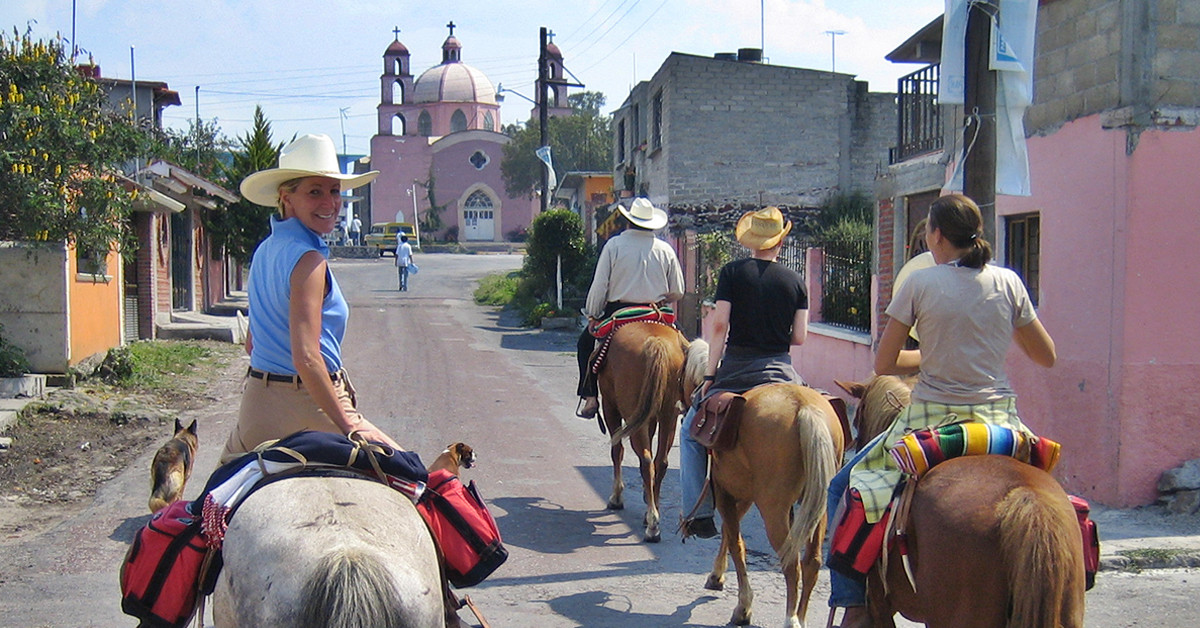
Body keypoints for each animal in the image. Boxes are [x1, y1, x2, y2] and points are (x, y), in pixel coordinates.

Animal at [597, 321, 691, 542]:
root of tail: (657, 343)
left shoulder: (610, 406)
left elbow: (616, 451)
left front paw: (616, 498)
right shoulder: (652, 416)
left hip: (631, 413)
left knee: (646, 461)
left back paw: (653, 526)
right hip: (668, 416)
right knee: (660, 462)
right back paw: (651, 515)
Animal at [686, 341, 844, 628]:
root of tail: (804, 407)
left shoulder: (725, 492)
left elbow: (736, 542)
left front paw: (743, 607)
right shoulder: (744, 495)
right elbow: (730, 533)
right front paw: (717, 576)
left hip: (773, 509)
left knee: (791, 562)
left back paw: (791, 619)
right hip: (818, 505)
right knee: (812, 562)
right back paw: (800, 616)